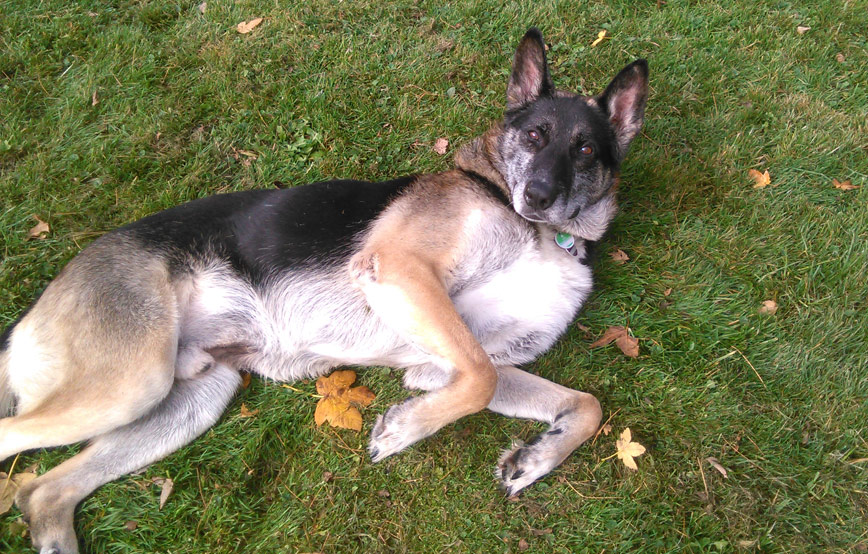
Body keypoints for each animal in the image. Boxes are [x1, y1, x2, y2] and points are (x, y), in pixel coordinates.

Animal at [0, 30, 648, 552]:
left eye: (584, 148)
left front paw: (536, 457)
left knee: (42, 493)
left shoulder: (440, 363)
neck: (544, 233)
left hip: (193, 399)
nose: (537, 196)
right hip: (132, 382)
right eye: (535, 135)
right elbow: (480, 378)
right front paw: (404, 430)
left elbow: (583, 404)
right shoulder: (402, 271)